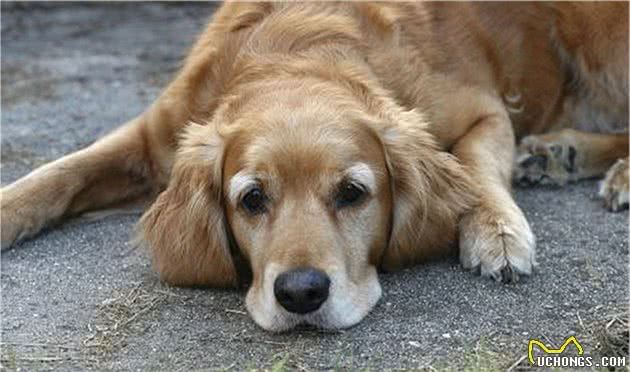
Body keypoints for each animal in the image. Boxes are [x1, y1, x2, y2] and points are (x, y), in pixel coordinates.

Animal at [2, 1, 628, 330]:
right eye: (252, 199)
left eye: (353, 193)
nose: (301, 294)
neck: (291, 52)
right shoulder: (157, 135)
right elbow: (59, 174)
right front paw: (8, 208)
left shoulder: (486, 109)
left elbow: (475, 167)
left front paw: (495, 231)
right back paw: (558, 153)